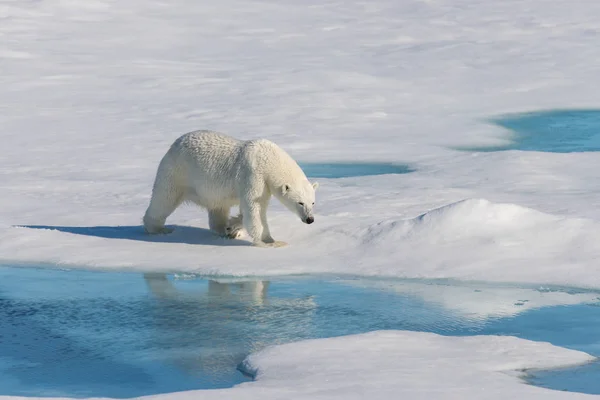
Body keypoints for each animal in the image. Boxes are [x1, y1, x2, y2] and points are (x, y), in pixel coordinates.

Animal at [143, 130, 318, 247]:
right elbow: (254, 209)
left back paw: (223, 230)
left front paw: (233, 227)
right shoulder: (254, 174)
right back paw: (158, 229)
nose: (310, 219)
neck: (268, 158)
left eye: (313, 202)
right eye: (300, 203)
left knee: (218, 208)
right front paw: (271, 242)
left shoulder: (263, 183)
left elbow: (249, 209)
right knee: (164, 198)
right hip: (177, 171)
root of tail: (175, 143)